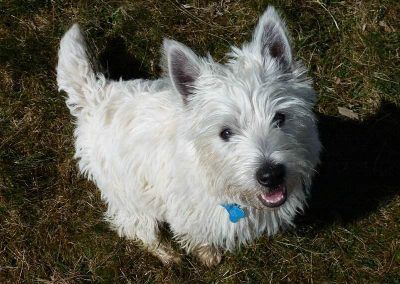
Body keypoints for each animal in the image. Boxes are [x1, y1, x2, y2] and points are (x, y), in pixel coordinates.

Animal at [56, 6, 320, 266]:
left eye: (280, 118)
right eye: (225, 132)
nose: (270, 175)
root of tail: (96, 95)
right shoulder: (189, 213)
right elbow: (198, 238)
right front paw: (208, 256)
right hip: (128, 192)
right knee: (134, 227)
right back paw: (166, 253)